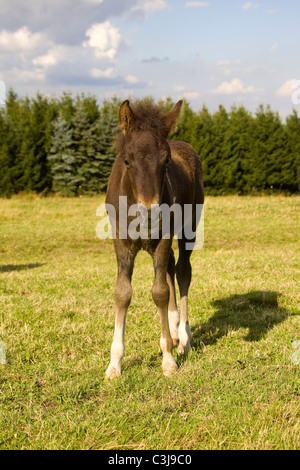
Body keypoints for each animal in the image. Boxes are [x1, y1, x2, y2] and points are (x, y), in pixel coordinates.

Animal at [103, 99, 204, 378]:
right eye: (127, 160)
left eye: (166, 160)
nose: (150, 213)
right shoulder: (121, 242)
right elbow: (122, 293)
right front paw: (114, 365)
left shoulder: (163, 238)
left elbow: (159, 292)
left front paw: (168, 358)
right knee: (170, 267)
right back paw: (174, 328)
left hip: (189, 227)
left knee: (182, 271)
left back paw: (183, 338)